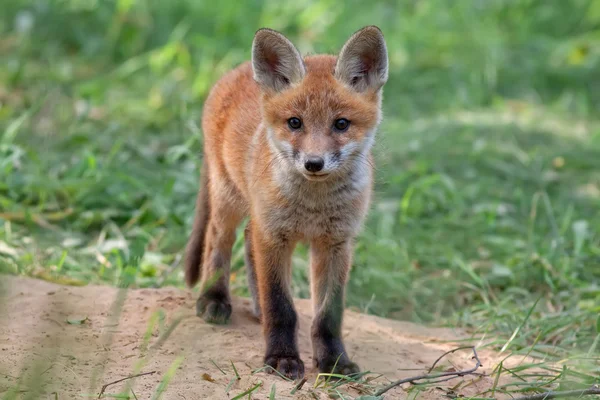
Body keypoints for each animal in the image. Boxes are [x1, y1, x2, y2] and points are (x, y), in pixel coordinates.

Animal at [184, 25, 390, 378]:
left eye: (341, 124)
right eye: (295, 122)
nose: (313, 163)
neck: (313, 207)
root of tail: (235, 71)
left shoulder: (336, 243)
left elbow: (328, 316)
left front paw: (334, 362)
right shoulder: (274, 236)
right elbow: (281, 307)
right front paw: (281, 358)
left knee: (247, 240)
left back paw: (256, 308)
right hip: (228, 198)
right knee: (217, 240)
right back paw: (214, 298)